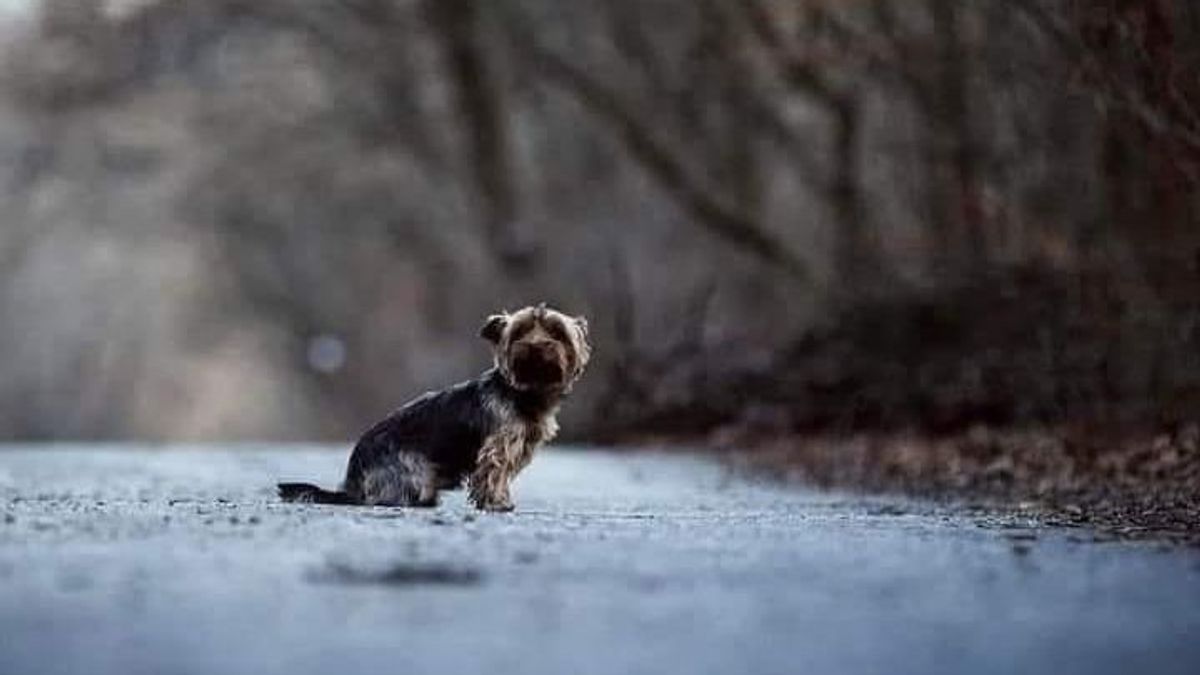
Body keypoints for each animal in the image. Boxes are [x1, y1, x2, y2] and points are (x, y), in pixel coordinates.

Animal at [273, 302, 590, 506]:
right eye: (520, 332)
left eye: (557, 333)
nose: (535, 346)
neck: (525, 391)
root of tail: (352, 485)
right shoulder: (498, 447)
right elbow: (494, 475)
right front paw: (497, 504)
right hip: (415, 472)